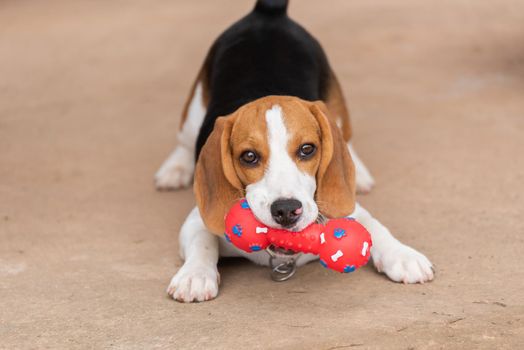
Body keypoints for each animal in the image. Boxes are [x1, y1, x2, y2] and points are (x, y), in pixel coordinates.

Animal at [157, 0, 434, 302]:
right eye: (249, 156)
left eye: (307, 149)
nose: (287, 210)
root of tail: (267, 14)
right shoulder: (197, 219)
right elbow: (202, 240)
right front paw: (195, 275)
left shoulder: (350, 211)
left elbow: (374, 225)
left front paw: (402, 255)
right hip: (194, 112)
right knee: (184, 143)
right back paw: (174, 169)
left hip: (336, 110)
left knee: (346, 140)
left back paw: (358, 173)